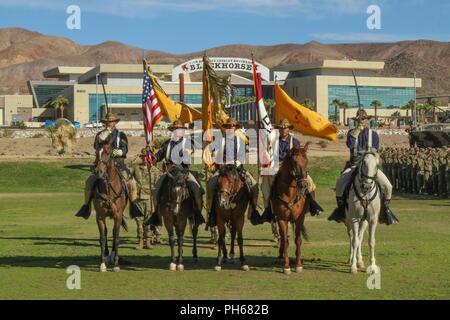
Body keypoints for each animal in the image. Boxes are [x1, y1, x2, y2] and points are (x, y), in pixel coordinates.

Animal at [93, 138, 128, 272]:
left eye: (108, 152)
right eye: (96, 152)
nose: (98, 171)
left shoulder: (118, 215)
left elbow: (116, 237)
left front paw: (116, 264)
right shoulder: (99, 217)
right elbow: (102, 238)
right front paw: (102, 263)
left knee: (113, 233)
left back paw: (113, 256)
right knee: (107, 233)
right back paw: (107, 256)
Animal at [268, 144, 312, 274]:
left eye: (306, 161)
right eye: (294, 161)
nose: (303, 185)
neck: (289, 193)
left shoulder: (299, 218)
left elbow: (298, 240)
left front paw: (298, 265)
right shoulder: (282, 219)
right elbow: (286, 241)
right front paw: (286, 266)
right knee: (284, 238)